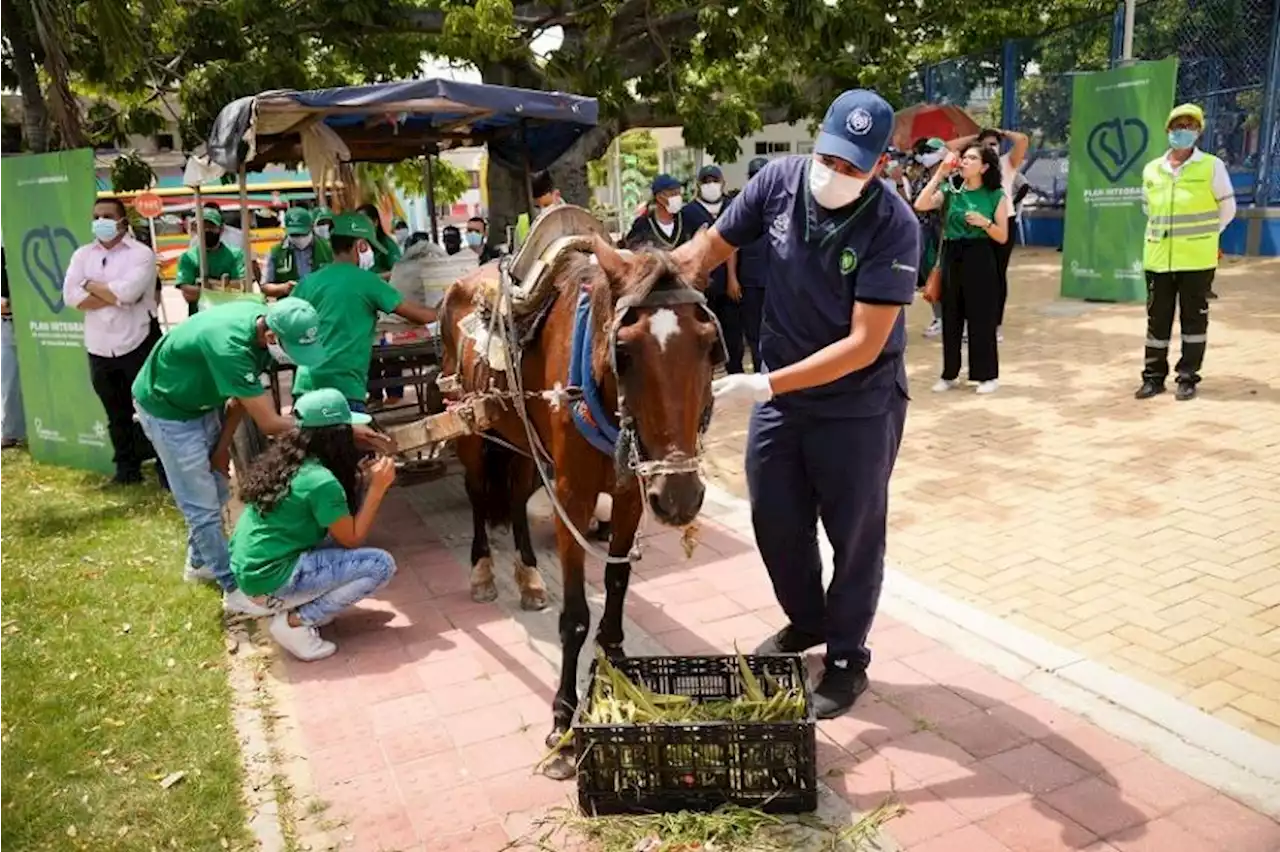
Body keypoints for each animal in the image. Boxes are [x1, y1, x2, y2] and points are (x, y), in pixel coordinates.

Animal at [437, 232, 721, 777]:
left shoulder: (632, 495)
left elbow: (616, 587)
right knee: (480, 494)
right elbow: (574, 618)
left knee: (516, 498)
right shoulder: (572, 497)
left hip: (523, 441)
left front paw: (619, 673)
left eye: (711, 345)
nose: (680, 498)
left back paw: (528, 575)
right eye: (624, 350)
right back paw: (483, 571)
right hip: (469, 425)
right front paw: (564, 720)